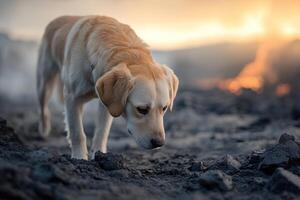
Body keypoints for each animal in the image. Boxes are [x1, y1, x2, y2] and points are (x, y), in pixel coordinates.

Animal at [36, 15, 179, 160]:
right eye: (142, 109)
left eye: (164, 108)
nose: (159, 143)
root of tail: (58, 18)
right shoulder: (72, 98)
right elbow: (77, 132)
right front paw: (79, 157)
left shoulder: (108, 102)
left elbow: (101, 131)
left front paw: (99, 154)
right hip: (44, 82)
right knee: (43, 107)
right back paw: (44, 128)